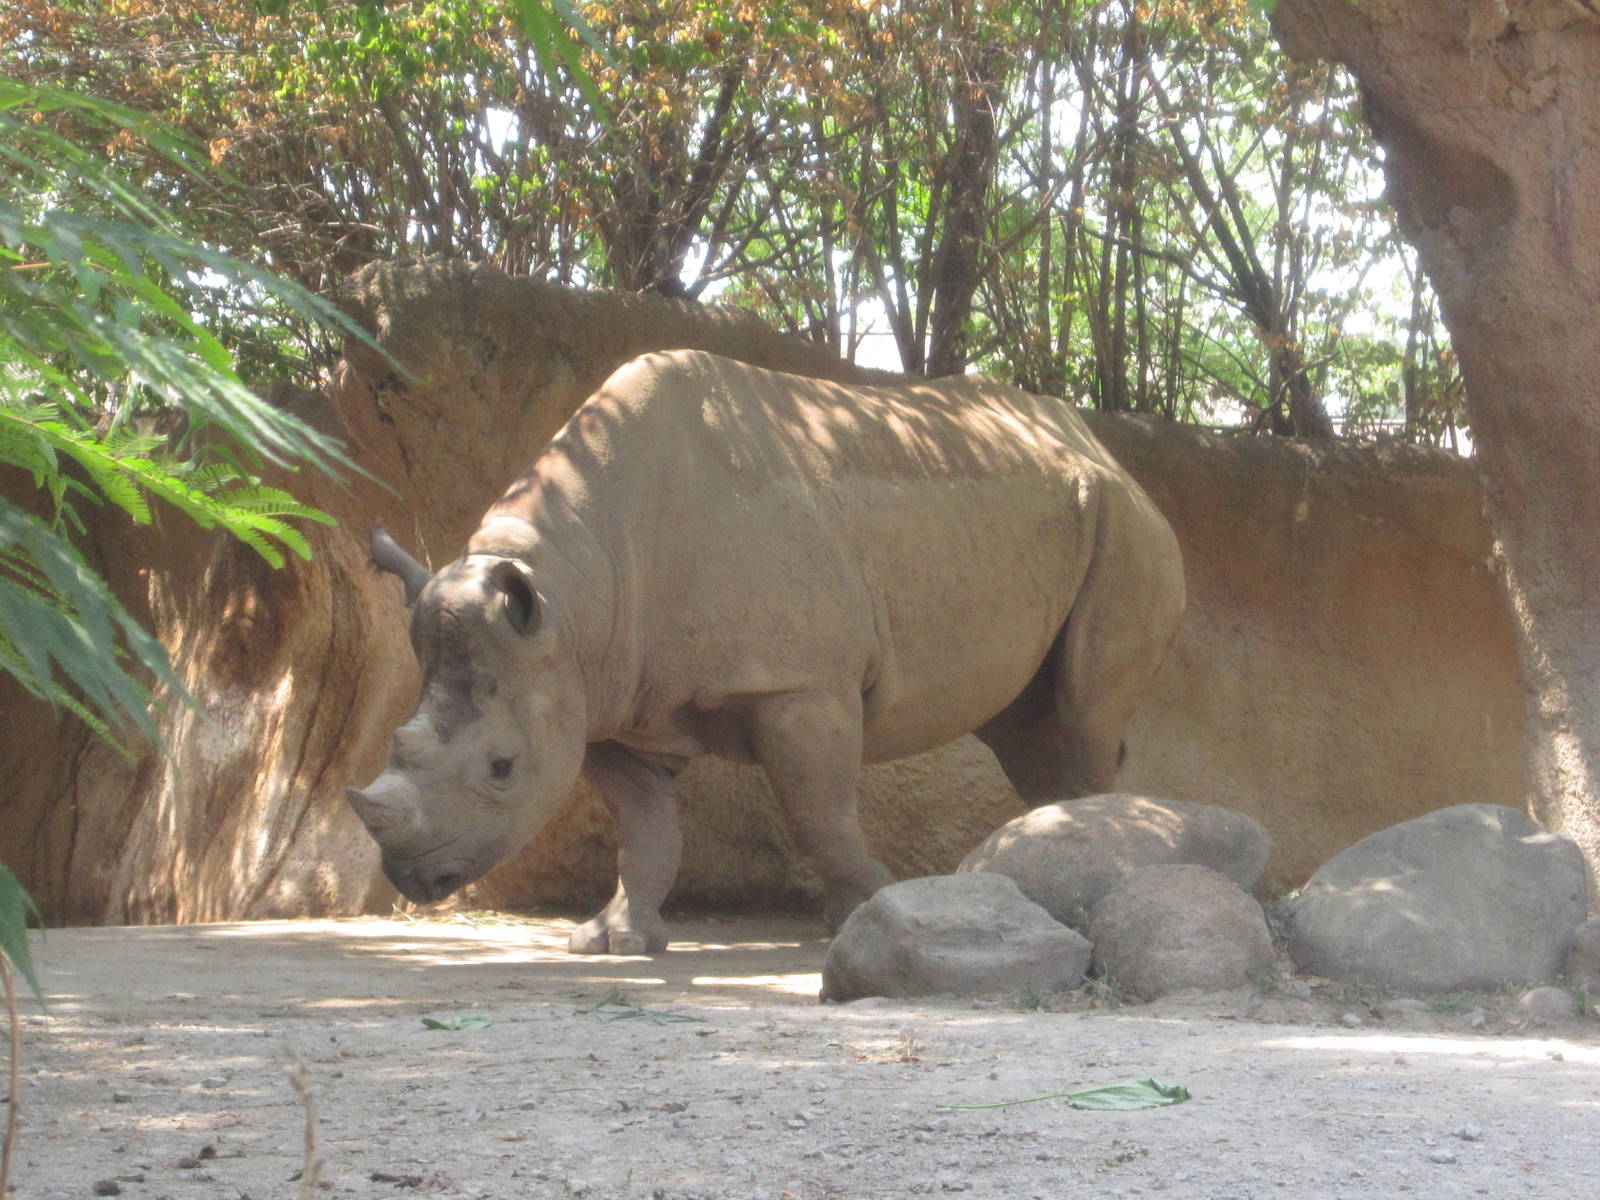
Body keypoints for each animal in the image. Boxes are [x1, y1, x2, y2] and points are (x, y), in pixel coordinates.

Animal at [347, 350, 1185, 954]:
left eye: (501, 768)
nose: (413, 878)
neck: (576, 596)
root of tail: (1100, 445)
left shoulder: (799, 685)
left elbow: (818, 812)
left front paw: (867, 908)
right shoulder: (601, 695)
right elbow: (645, 826)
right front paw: (613, 941)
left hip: (1128, 525)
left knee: (1082, 711)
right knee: (1026, 725)